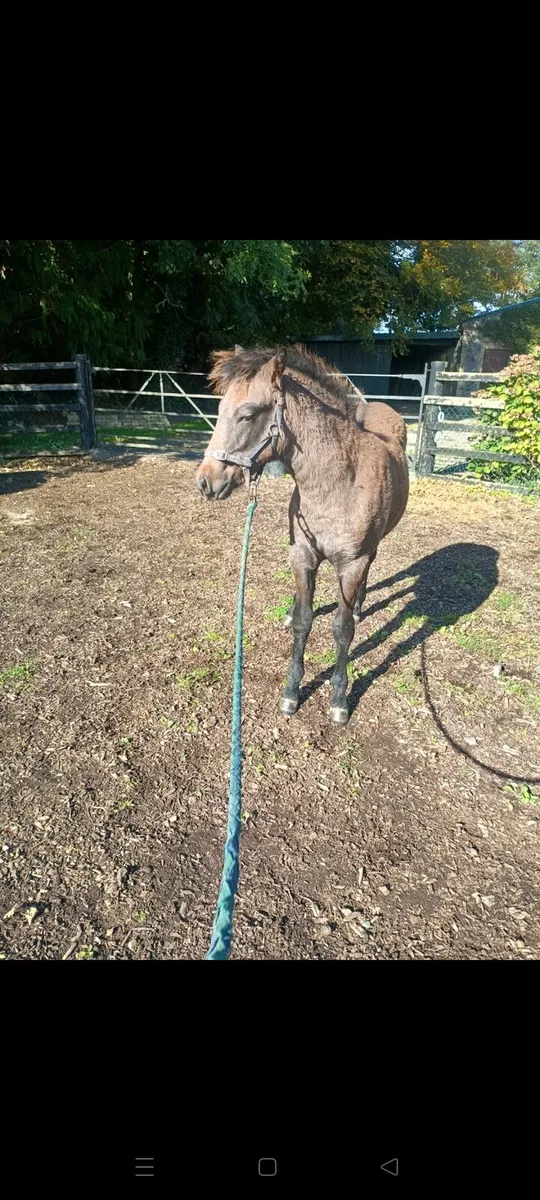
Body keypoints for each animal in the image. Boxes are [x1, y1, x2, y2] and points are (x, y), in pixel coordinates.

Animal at [196, 344, 409, 724]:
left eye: (247, 415)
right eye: (219, 411)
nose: (206, 482)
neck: (338, 483)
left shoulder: (351, 565)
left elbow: (342, 629)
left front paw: (339, 699)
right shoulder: (302, 556)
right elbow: (304, 622)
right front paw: (291, 692)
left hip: (372, 547)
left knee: (370, 568)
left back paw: (359, 606)